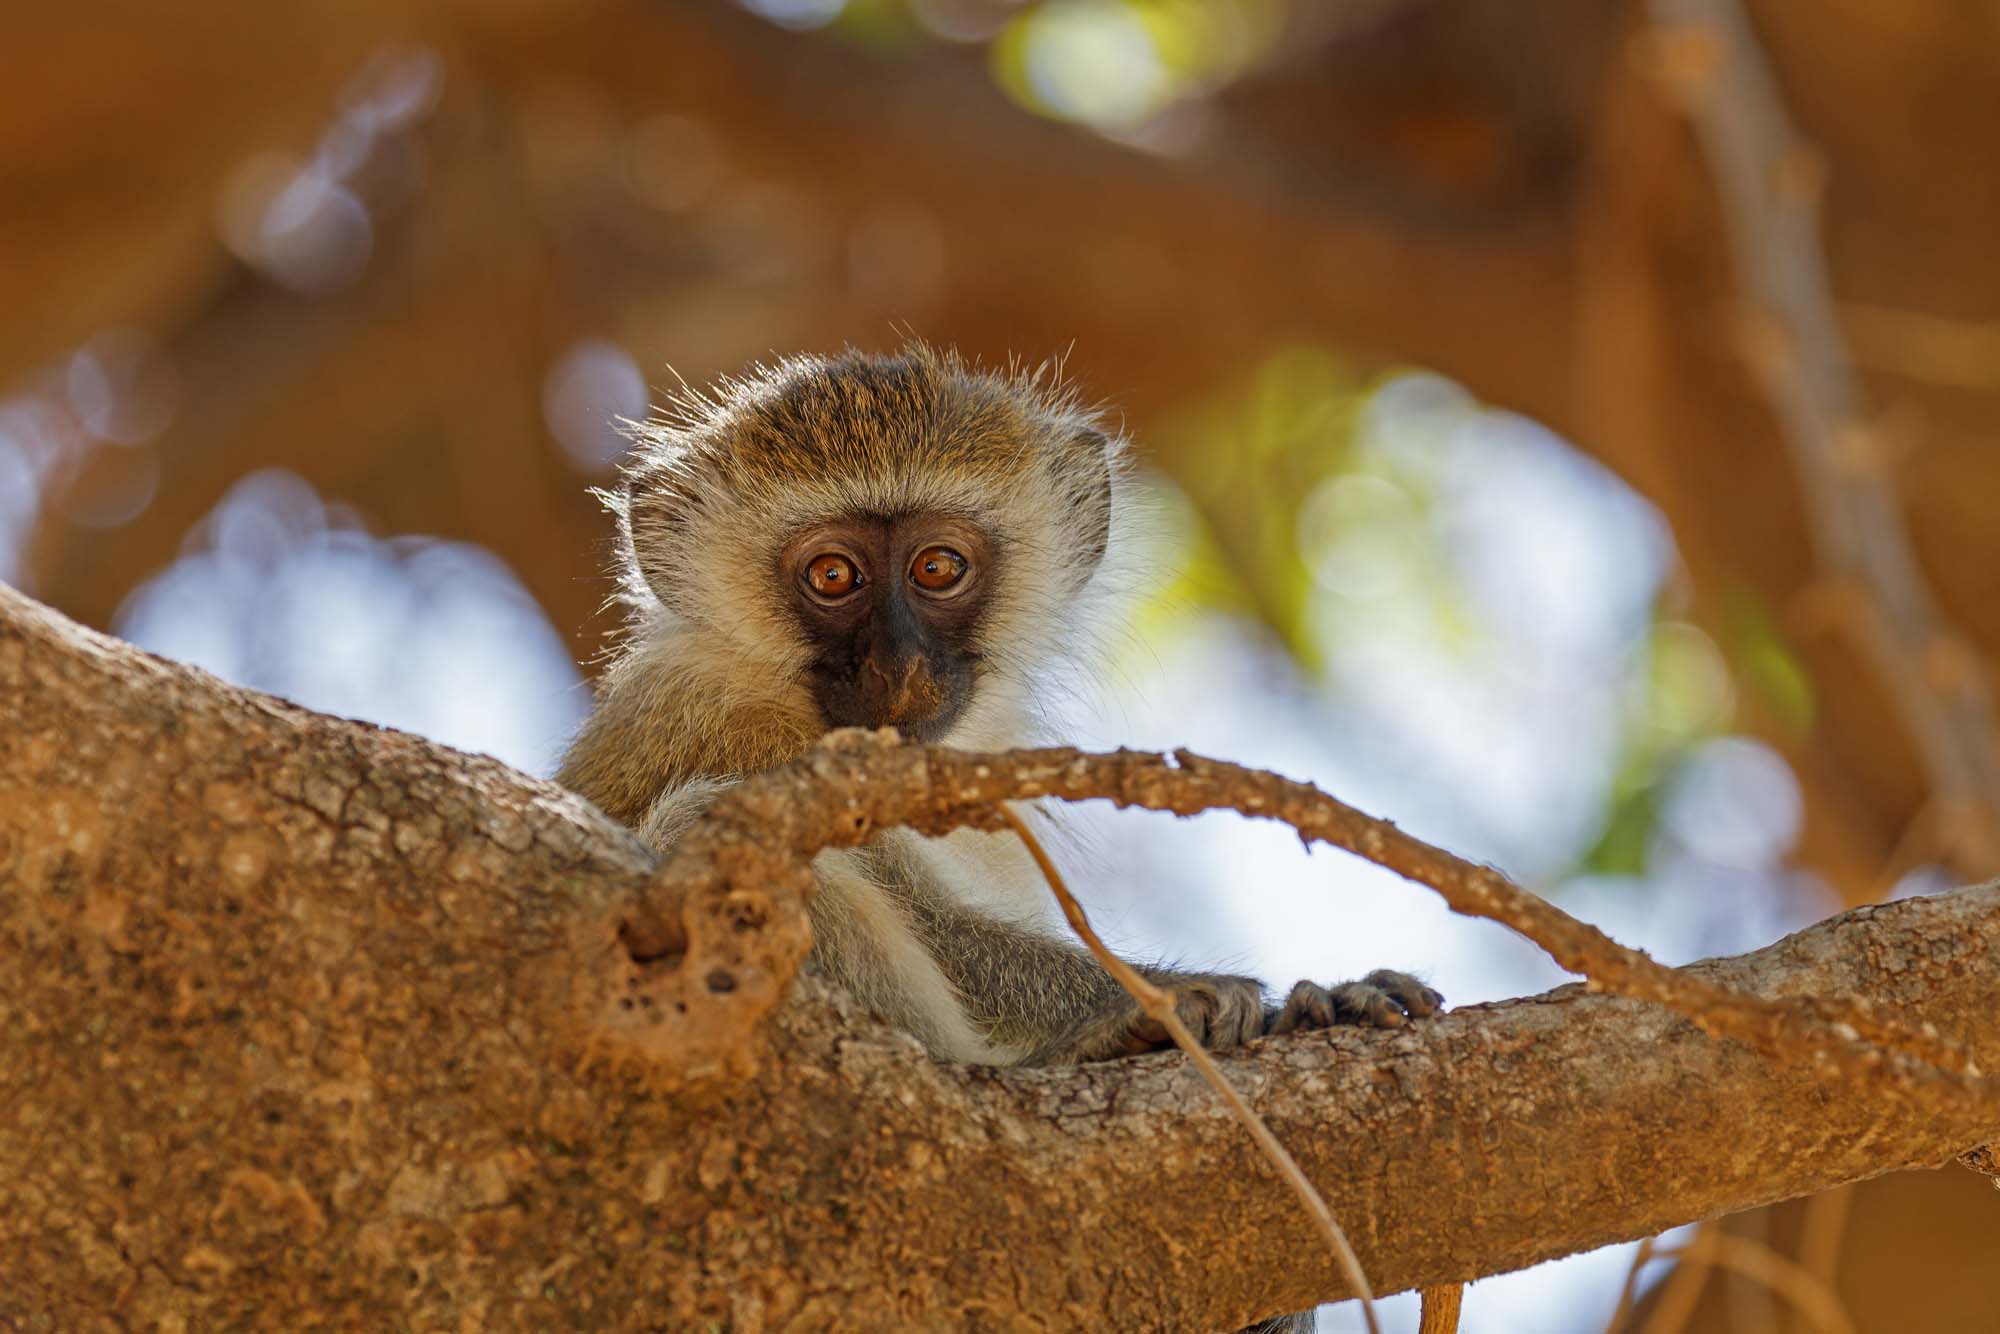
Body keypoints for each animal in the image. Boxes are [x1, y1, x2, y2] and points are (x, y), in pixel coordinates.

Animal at [557, 342, 1446, 1324]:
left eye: (939, 568)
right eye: (833, 577)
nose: (899, 663)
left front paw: (1334, 1004)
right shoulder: (738, 739)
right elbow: (942, 930)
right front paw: (1232, 1007)